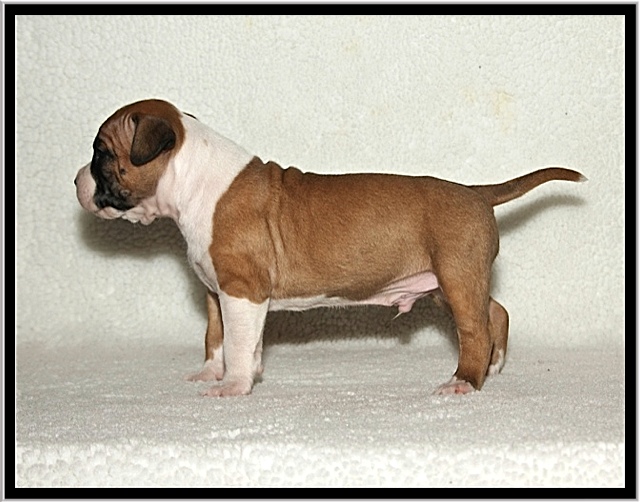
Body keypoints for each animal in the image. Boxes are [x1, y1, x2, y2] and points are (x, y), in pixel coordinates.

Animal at [75, 99, 585, 397]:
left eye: (101, 153)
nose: (76, 182)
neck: (195, 180)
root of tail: (476, 192)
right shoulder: (217, 294)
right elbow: (217, 337)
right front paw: (212, 373)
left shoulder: (242, 290)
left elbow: (238, 343)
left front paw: (234, 386)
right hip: (449, 281)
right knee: (495, 311)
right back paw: (494, 368)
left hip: (457, 277)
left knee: (475, 327)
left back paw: (464, 382)